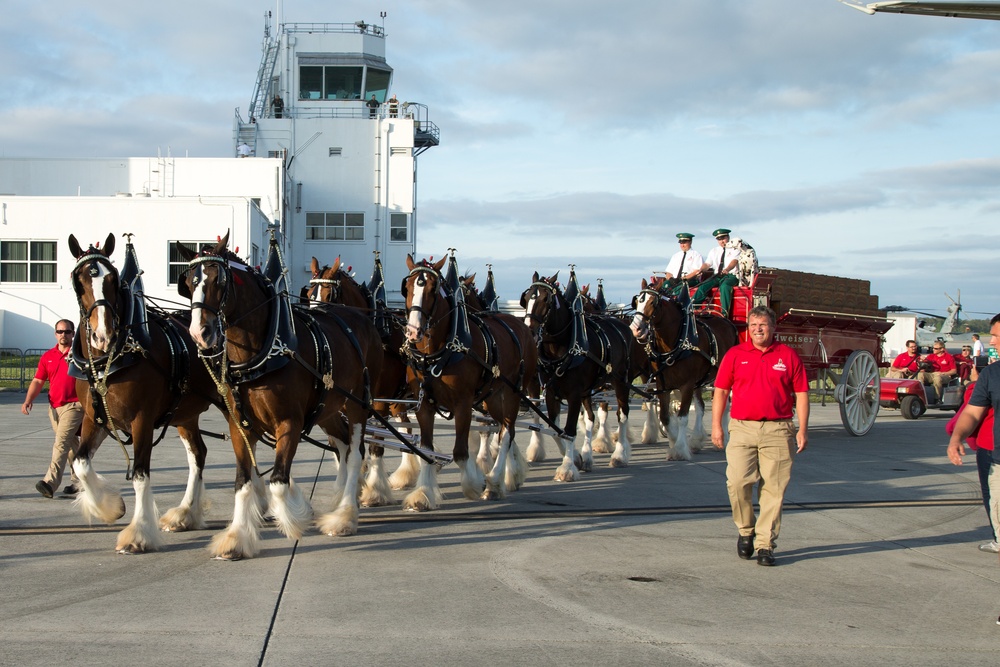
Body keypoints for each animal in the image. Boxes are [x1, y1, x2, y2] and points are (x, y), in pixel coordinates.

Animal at [67, 232, 225, 556]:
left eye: (113, 278)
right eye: (79, 280)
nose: (102, 335)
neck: (113, 358)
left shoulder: (142, 420)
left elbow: (140, 474)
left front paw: (138, 533)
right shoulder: (95, 418)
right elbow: (80, 463)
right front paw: (110, 507)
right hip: (185, 414)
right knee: (198, 454)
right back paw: (185, 513)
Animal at [180, 234, 382, 560]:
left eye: (218, 280)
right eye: (187, 281)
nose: (200, 333)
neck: (264, 351)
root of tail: (362, 320)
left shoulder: (290, 423)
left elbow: (277, 481)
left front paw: (294, 515)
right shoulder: (240, 426)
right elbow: (243, 482)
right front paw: (236, 538)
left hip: (358, 404)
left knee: (355, 453)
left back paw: (345, 516)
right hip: (328, 409)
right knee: (342, 445)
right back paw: (340, 498)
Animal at [400, 253, 540, 508]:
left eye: (433, 289)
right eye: (408, 288)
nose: (413, 332)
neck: (437, 353)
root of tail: (520, 325)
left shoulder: (463, 404)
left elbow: (460, 452)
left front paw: (473, 484)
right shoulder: (424, 404)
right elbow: (426, 450)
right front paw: (423, 493)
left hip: (513, 392)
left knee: (506, 432)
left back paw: (494, 482)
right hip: (492, 398)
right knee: (506, 429)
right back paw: (512, 473)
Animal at [520, 272, 652, 480]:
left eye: (546, 299)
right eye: (525, 299)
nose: (530, 333)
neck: (562, 348)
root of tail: (622, 325)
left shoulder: (574, 394)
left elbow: (569, 429)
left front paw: (567, 468)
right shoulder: (551, 393)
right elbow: (556, 429)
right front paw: (576, 458)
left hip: (621, 382)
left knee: (622, 414)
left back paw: (620, 455)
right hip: (588, 390)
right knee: (590, 417)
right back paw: (588, 457)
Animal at [628, 276, 740, 460]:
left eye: (653, 302)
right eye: (637, 301)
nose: (635, 329)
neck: (676, 343)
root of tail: (727, 321)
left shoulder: (686, 385)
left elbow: (682, 417)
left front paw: (680, 449)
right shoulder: (663, 385)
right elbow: (665, 417)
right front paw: (674, 440)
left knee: (724, 405)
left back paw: (723, 438)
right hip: (700, 381)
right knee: (701, 407)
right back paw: (696, 440)